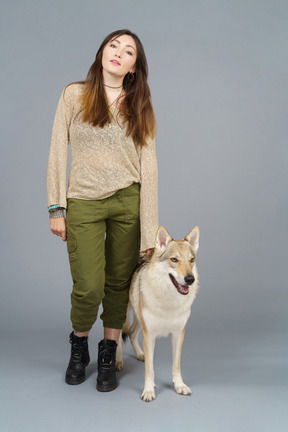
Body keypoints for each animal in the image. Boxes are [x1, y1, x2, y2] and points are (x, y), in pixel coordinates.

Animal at [116, 226, 199, 402]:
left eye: (191, 260)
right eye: (174, 260)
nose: (190, 279)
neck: (169, 300)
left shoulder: (178, 334)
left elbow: (176, 365)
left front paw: (179, 386)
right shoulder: (150, 335)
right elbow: (150, 369)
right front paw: (148, 391)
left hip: (139, 320)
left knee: (131, 334)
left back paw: (140, 354)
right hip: (123, 315)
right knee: (119, 337)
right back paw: (118, 362)